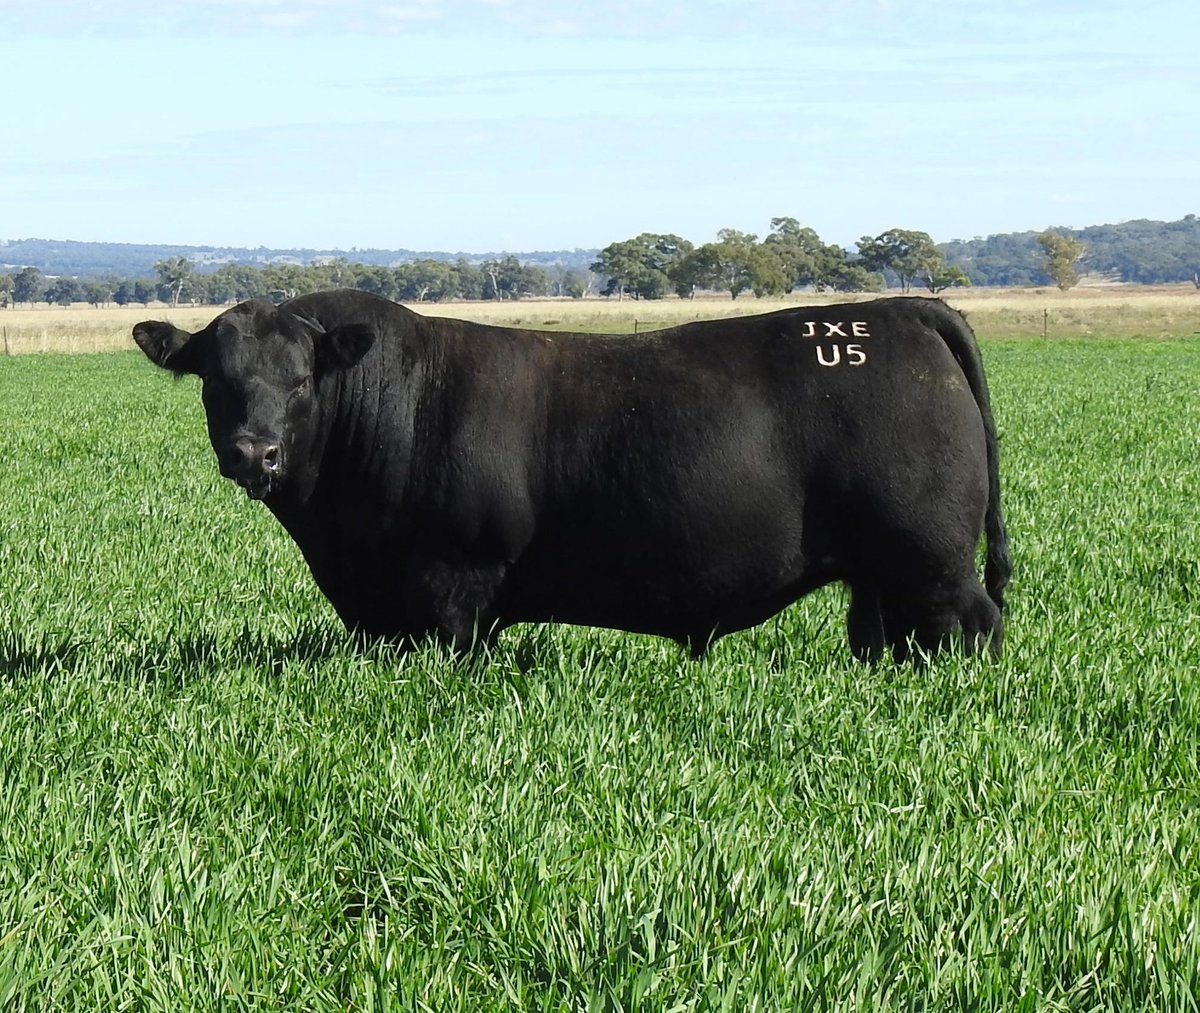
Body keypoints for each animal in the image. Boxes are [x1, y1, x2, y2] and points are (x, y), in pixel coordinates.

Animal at [133, 289, 1010, 663]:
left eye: (301, 381)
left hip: (932, 557)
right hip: (882, 572)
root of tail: (901, 309)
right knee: (882, 632)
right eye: (215, 380)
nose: (254, 453)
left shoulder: (452, 585)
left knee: (971, 623)